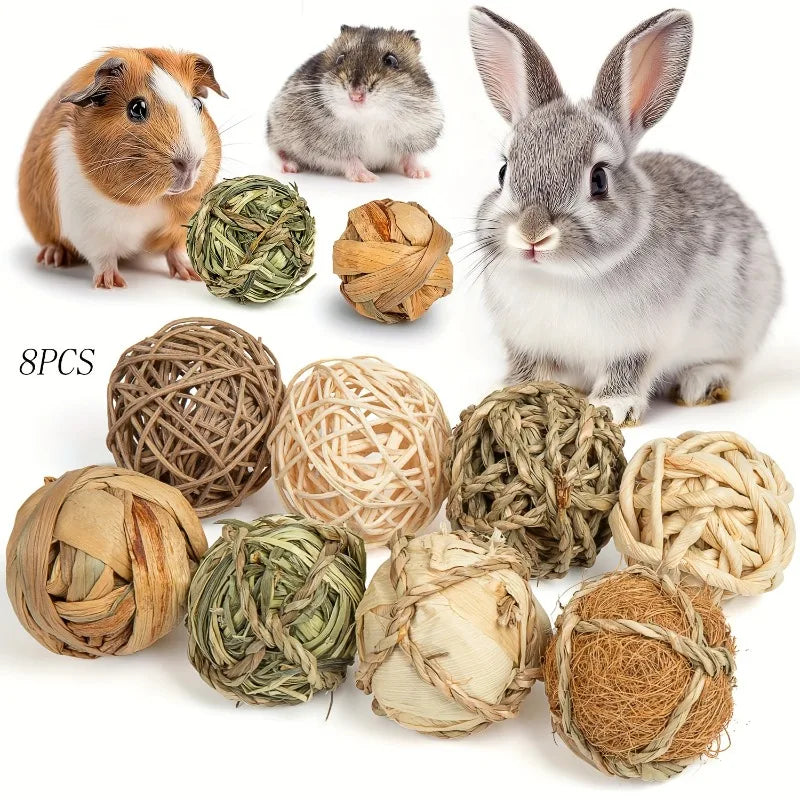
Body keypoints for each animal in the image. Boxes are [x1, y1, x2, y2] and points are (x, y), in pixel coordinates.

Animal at [19, 48, 227, 288]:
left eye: (197, 104)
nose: (190, 163)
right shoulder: (89, 227)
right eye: (136, 108)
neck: (149, 202)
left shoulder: (179, 223)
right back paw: (52, 258)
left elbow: (174, 250)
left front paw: (190, 275)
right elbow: (103, 258)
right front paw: (111, 284)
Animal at [267, 25, 443, 182]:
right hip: (276, 131)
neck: (370, 119)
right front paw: (368, 178)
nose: (355, 96)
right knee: (276, 151)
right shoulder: (324, 149)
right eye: (340, 58)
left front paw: (422, 174)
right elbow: (349, 159)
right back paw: (289, 167)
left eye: (391, 60)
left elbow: (410, 156)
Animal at [468, 6, 782, 425]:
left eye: (599, 179)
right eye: (503, 172)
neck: (561, 276)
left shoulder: (638, 344)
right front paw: (509, 394)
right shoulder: (527, 343)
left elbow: (627, 371)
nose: (532, 233)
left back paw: (701, 384)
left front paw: (612, 408)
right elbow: (529, 370)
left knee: (729, 363)